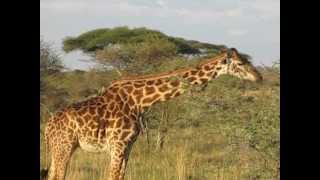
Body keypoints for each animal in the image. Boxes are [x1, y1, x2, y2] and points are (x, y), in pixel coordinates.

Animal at [42, 48, 262, 180]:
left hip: (59, 148)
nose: (258, 77)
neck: (139, 101)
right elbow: (112, 176)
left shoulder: (128, 146)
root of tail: (48, 126)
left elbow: (121, 176)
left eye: (246, 60)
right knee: (57, 175)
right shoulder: (117, 144)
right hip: (64, 146)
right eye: (240, 64)